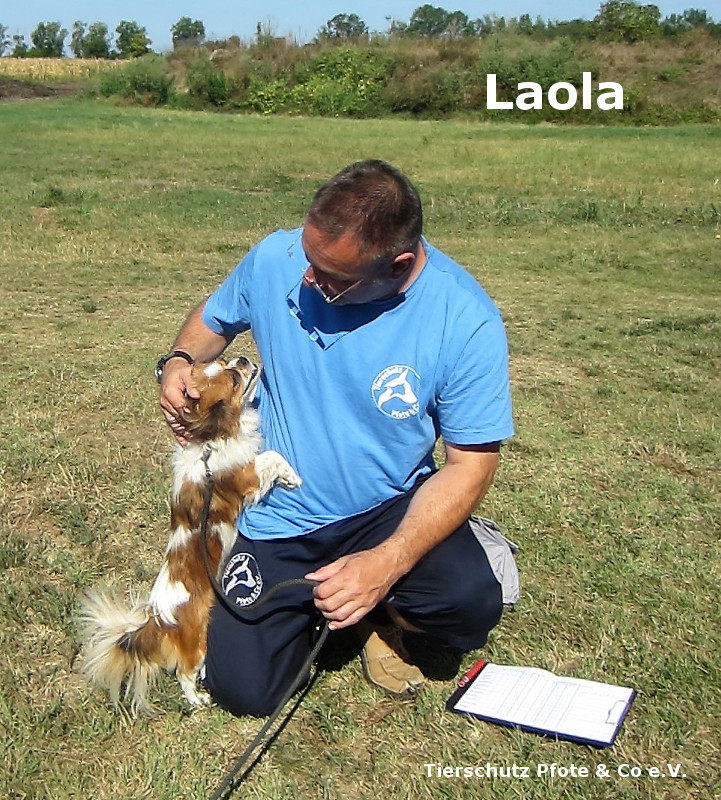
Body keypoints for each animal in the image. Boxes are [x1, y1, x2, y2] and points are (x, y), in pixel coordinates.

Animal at [77, 357, 301, 715]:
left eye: (227, 363)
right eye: (234, 379)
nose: (242, 359)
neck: (210, 443)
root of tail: (157, 622)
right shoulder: (245, 476)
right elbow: (271, 457)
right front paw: (293, 477)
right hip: (198, 639)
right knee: (185, 673)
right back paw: (197, 700)